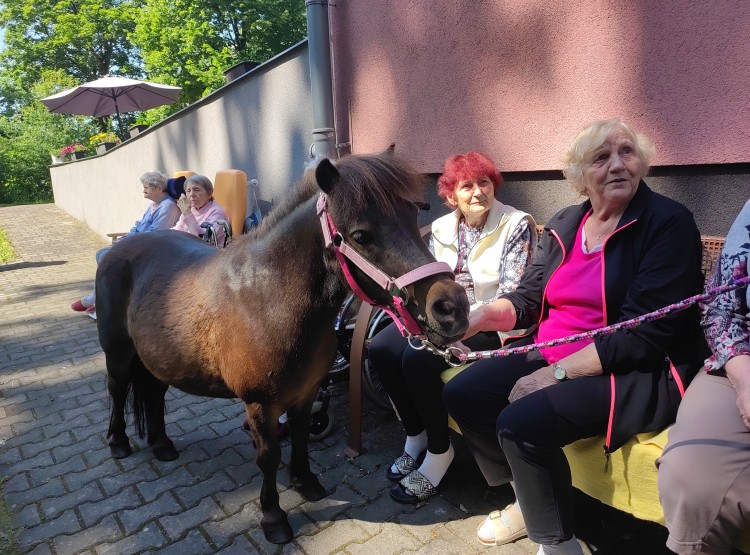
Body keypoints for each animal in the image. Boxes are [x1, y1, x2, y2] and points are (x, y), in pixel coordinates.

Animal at [94, 150, 470, 544]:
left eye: (413, 215)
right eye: (360, 235)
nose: (451, 307)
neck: (268, 298)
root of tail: (118, 249)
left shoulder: (305, 393)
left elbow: (302, 439)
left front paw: (306, 483)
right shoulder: (261, 404)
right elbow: (269, 457)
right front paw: (274, 517)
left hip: (159, 357)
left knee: (153, 392)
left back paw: (162, 445)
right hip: (118, 354)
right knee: (117, 389)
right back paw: (118, 442)